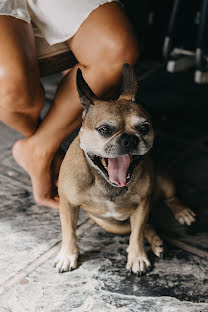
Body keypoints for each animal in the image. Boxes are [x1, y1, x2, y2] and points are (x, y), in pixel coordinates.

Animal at [54, 64, 195, 274]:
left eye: (144, 127)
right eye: (105, 130)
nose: (129, 138)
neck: (106, 182)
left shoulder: (142, 206)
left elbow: (136, 235)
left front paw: (137, 257)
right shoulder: (68, 205)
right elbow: (69, 231)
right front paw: (67, 255)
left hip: (163, 179)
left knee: (167, 202)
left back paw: (182, 212)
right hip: (113, 225)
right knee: (147, 226)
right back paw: (156, 241)